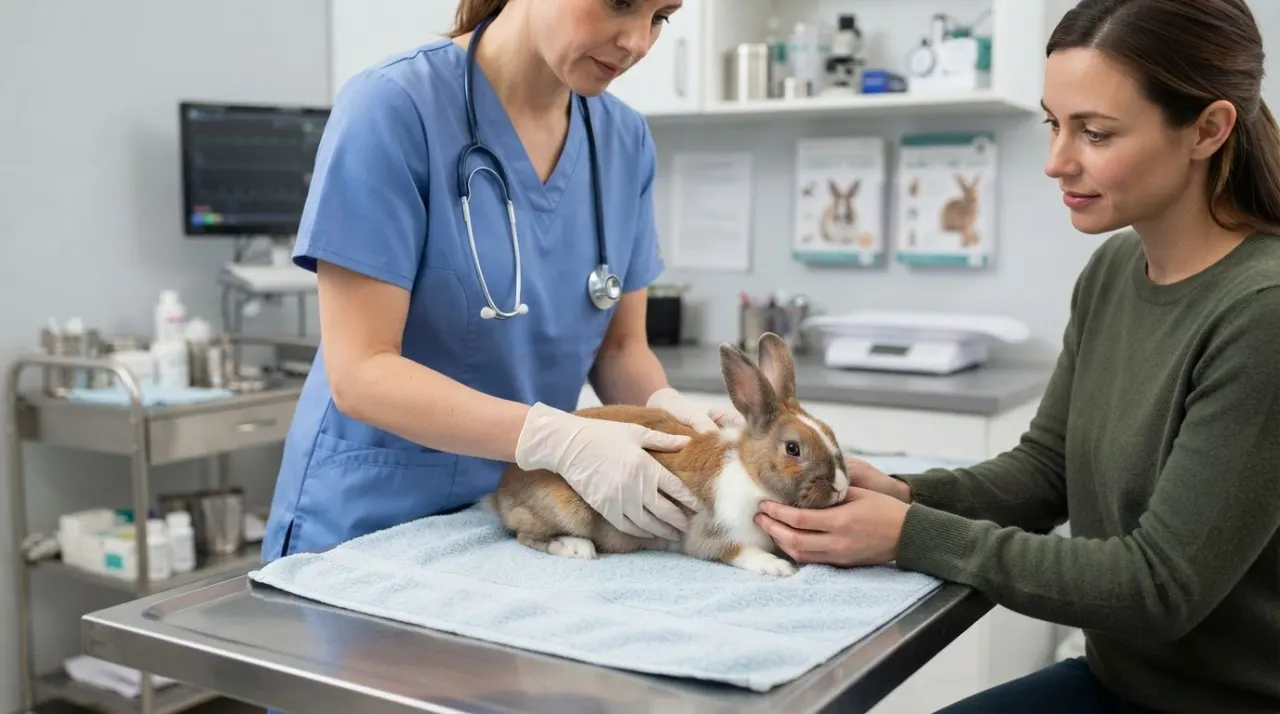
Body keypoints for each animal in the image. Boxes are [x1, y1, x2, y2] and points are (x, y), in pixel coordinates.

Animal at [486, 332, 850, 578]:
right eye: (793, 448)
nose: (841, 487)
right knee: (527, 535)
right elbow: (738, 552)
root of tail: (501, 493)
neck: (750, 473)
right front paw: (777, 567)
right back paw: (576, 547)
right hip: (566, 510)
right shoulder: (716, 534)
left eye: (830, 431)